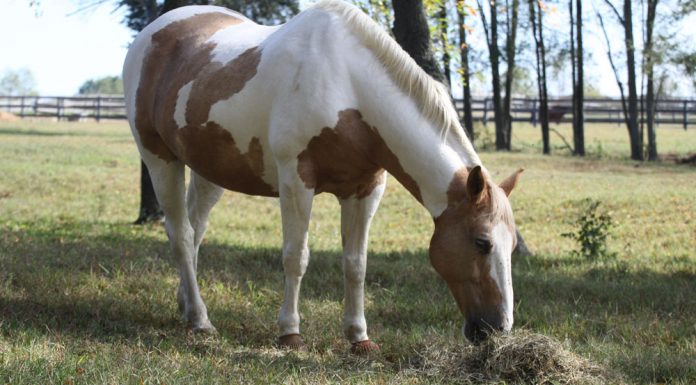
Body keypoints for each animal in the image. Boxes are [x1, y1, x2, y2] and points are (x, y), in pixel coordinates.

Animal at [122, 0, 520, 352]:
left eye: (513, 245)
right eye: (482, 242)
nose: (498, 328)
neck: (348, 85)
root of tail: (152, 33)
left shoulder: (365, 190)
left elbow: (356, 264)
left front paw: (359, 337)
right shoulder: (297, 182)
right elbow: (295, 256)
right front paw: (289, 333)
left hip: (209, 171)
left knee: (196, 229)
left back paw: (187, 306)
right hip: (160, 160)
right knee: (181, 236)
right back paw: (201, 320)